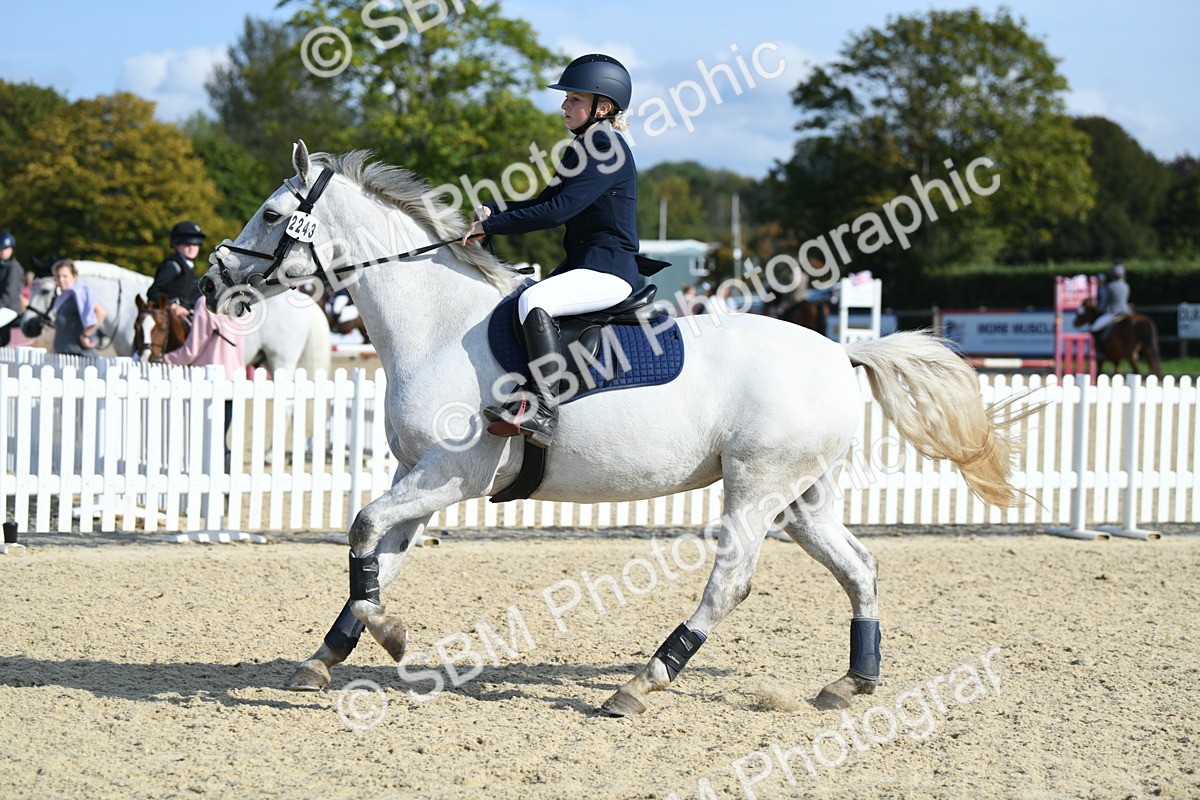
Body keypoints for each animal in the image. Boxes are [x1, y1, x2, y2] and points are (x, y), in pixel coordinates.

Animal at [198, 141, 1036, 716]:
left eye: (270, 214)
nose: (213, 281)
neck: (435, 325)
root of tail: (839, 349)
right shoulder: (421, 478)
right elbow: (376, 554)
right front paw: (329, 653)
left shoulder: (450, 476)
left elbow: (364, 530)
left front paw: (391, 637)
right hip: (804, 496)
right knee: (858, 567)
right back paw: (853, 681)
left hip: (757, 485)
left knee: (731, 580)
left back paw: (643, 680)